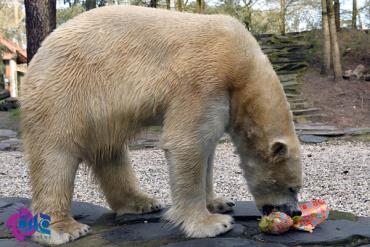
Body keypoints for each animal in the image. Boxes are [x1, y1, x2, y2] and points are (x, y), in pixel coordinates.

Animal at [20, 5, 302, 245]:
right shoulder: (204, 79)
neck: (243, 66)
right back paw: (63, 229)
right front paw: (213, 224)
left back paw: (141, 202)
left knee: (110, 153)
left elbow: (207, 147)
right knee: (55, 157)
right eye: (292, 187)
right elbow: (187, 142)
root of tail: (36, 58)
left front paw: (220, 202)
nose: (295, 211)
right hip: (66, 93)